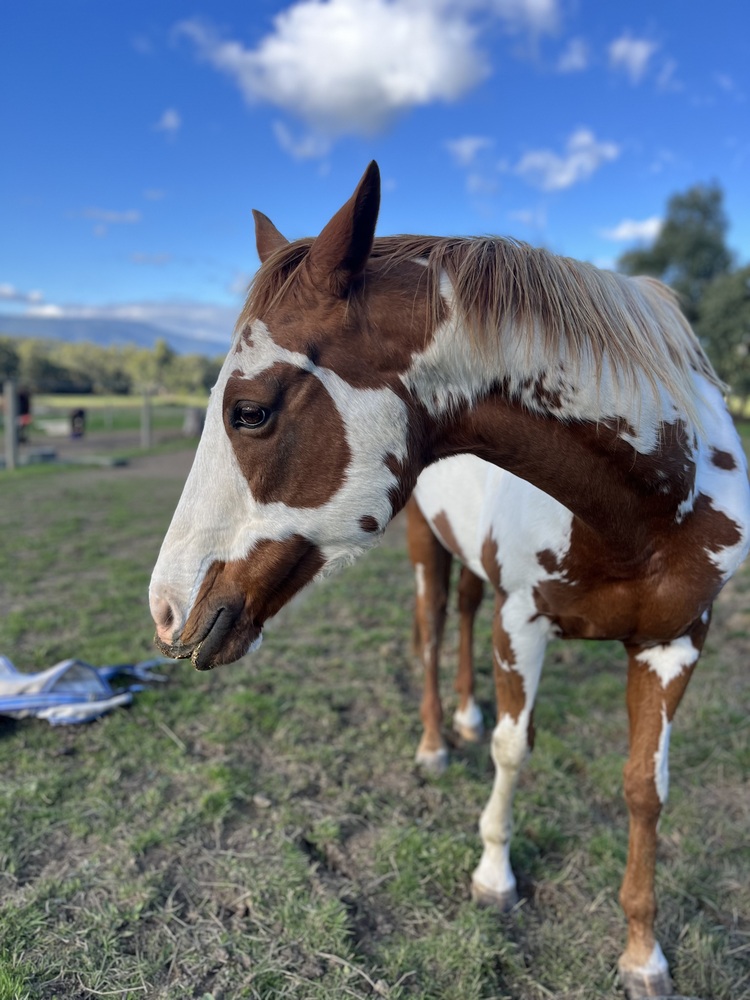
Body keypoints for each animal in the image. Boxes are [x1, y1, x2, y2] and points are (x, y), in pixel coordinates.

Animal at [149, 161, 750, 998]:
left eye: (250, 411)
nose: (166, 608)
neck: (645, 508)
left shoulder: (675, 642)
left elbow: (644, 786)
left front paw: (642, 952)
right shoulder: (523, 621)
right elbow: (513, 749)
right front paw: (494, 876)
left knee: (463, 618)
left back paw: (462, 715)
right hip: (426, 552)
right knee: (435, 633)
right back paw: (438, 739)